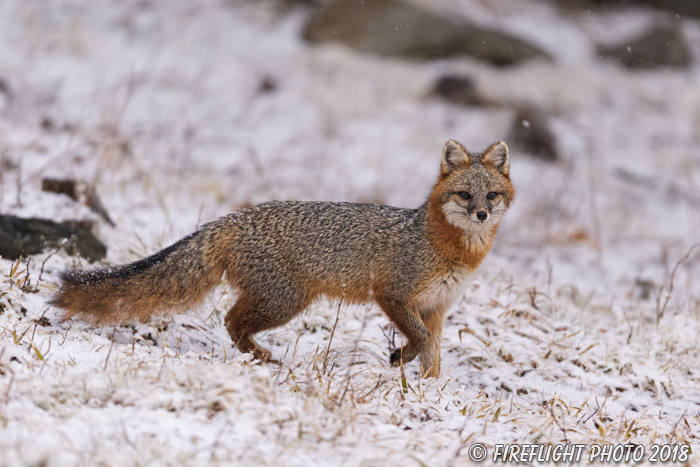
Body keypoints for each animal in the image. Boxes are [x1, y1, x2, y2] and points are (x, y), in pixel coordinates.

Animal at [52, 141, 516, 378]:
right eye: (464, 194)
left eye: (491, 195)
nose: (481, 214)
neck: (448, 248)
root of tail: (235, 216)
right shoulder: (394, 296)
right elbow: (418, 341)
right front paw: (398, 359)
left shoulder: (436, 308)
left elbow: (432, 354)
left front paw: (429, 393)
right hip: (285, 302)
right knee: (231, 320)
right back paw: (258, 357)